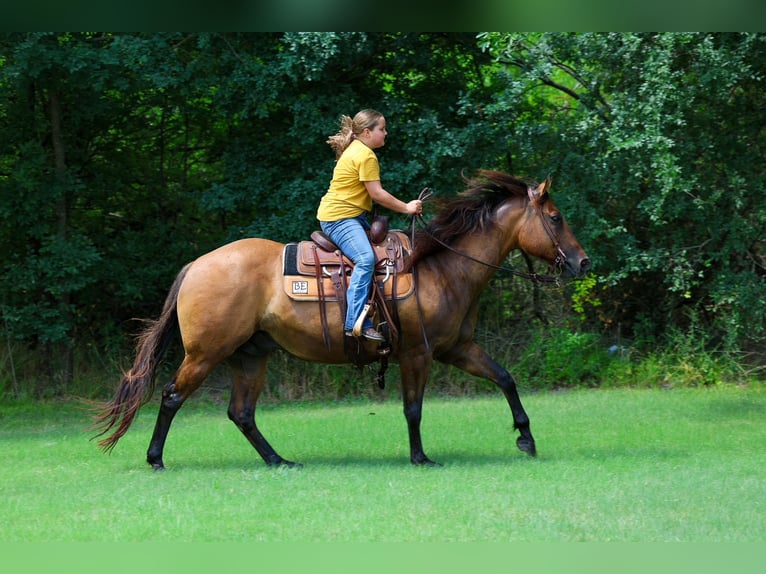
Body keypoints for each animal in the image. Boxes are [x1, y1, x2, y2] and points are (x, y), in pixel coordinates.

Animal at [94, 170, 591, 469]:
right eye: (555, 217)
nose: (583, 263)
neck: (442, 267)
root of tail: (196, 265)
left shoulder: (456, 349)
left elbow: (505, 378)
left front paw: (525, 439)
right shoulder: (418, 353)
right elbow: (413, 408)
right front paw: (421, 458)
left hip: (249, 356)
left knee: (242, 413)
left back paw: (279, 461)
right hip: (205, 353)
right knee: (172, 396)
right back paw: (156, 458)